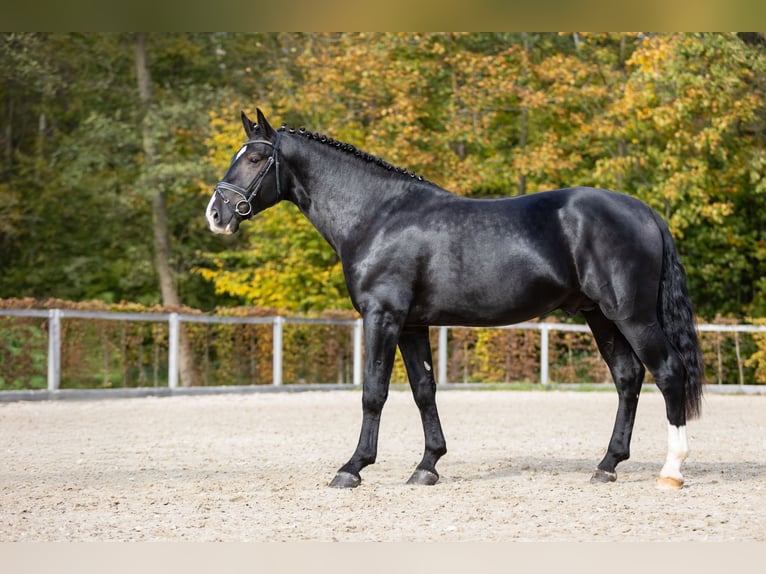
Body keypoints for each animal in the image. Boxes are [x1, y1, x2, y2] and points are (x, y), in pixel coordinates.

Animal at [207, 111, 704, 490]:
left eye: (255, 158)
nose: (216, 214)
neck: (378, 216)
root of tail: (644, 211)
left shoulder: (382, 318)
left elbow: (374, 392)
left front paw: (353, 468)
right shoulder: (411, 324)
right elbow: (424, 391)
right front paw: (428, 465)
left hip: (632, 315)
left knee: (668, 372)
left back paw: (671, 471)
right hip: (599, 316)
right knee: (627, 378)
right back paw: (607, 465)